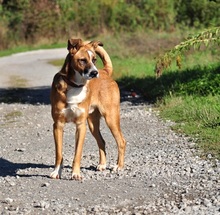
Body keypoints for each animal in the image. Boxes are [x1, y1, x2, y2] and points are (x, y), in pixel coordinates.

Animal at [49, 38, 125, 180]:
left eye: (94, 60)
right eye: (82, 60)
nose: (95, 73)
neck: (74, 86)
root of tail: (105, 71)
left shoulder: (81, 126)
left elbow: (77, 153)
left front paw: (76, 173)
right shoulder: (58, 125)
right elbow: (59, 153)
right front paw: (57, 172)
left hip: (111, 117)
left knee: (121, 141)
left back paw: (119, 166)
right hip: (92, 123)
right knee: (102, 141)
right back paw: (102, 164)